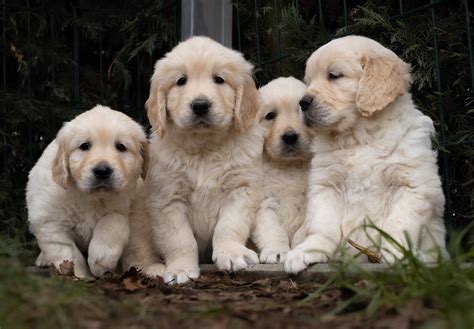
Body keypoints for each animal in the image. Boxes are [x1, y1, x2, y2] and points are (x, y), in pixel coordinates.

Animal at [25, 105, 147, 276]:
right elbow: (68, 252)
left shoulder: (123, 208)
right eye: (84, 146)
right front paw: (80, 275)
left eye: (121, 147)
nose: (102, 171)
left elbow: (112, 222)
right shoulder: (49, 222)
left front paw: (101, 260)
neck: (89, 197)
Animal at [122, 35, 262, 282]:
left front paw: (232, 253)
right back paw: (153, 268)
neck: (204, 148)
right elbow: (180, 239)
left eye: (219, 79)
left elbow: (229, 225)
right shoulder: (168, 198)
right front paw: (181, 269)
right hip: (138, 223)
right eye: (181, 81)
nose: (200, 105)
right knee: (136, 255)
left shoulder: (240, 189)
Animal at [250, 75, 312, 262]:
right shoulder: (264, 204)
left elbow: (302, 232)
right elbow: (273, 230)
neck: (289, 166)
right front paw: (276, 252)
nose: (290, 136)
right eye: (270, 115)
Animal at [286, 35, 448, 274]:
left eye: (334, 76)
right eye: (308, 81)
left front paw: (398, 252)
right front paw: (309, 250)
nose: (302, 102)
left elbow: (398, 223)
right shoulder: (326, 185)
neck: (359, 136)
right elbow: (322, 225)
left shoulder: (411, 185)